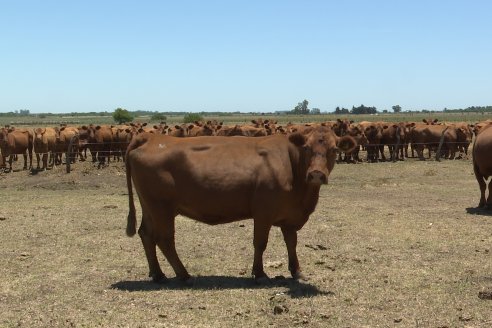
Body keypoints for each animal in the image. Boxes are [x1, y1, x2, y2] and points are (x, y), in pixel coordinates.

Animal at [126, 127, 358, 284]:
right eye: (307, 147)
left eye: (334, 149)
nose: (316, 174)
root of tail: (151, 137)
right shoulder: (263, 212)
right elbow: (260, 243)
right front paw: (260, 274)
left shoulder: (290, 217)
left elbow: (292, 243)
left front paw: (297, 271)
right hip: (161, 208)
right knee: (164, 239)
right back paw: (184, 275)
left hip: (149, 207)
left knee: (146, 234)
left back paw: (158, 274)